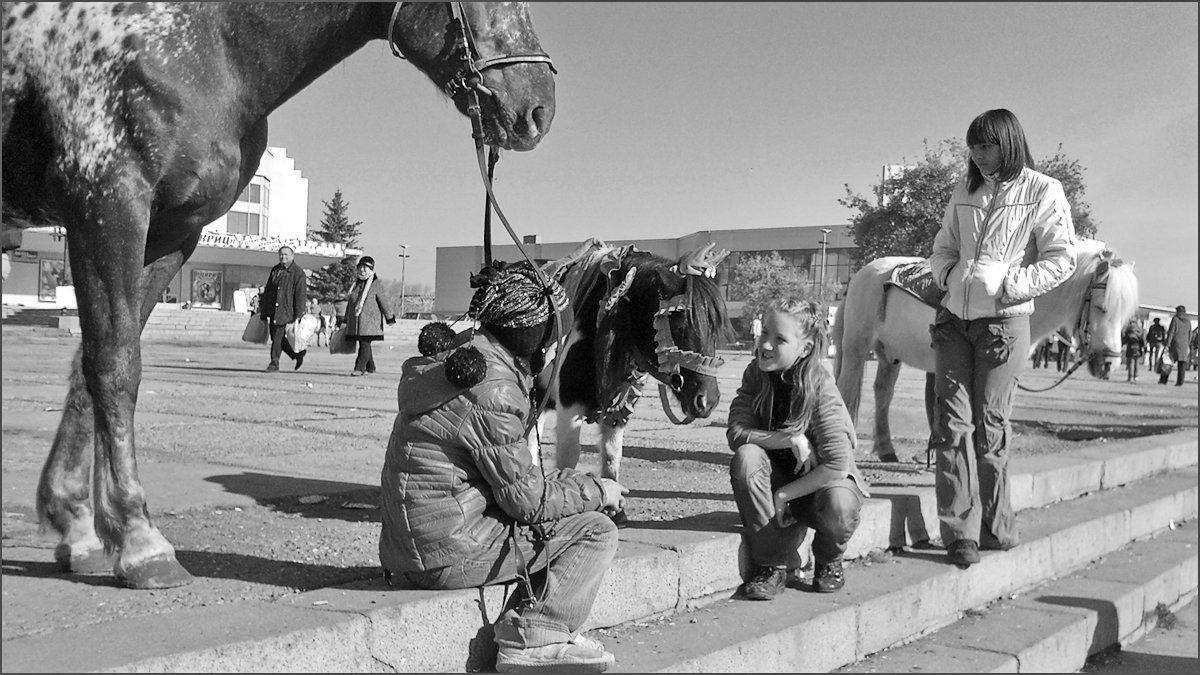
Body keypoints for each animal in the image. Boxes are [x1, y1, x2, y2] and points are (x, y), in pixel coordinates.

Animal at [830, 239, 1137, 458]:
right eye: (1102, 307)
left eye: (1126, 315)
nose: (1110, 363)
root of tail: (860, 276)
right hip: (856, 348)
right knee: (846, 390)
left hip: (889, 355)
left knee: (883, 392)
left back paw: (886, 449)